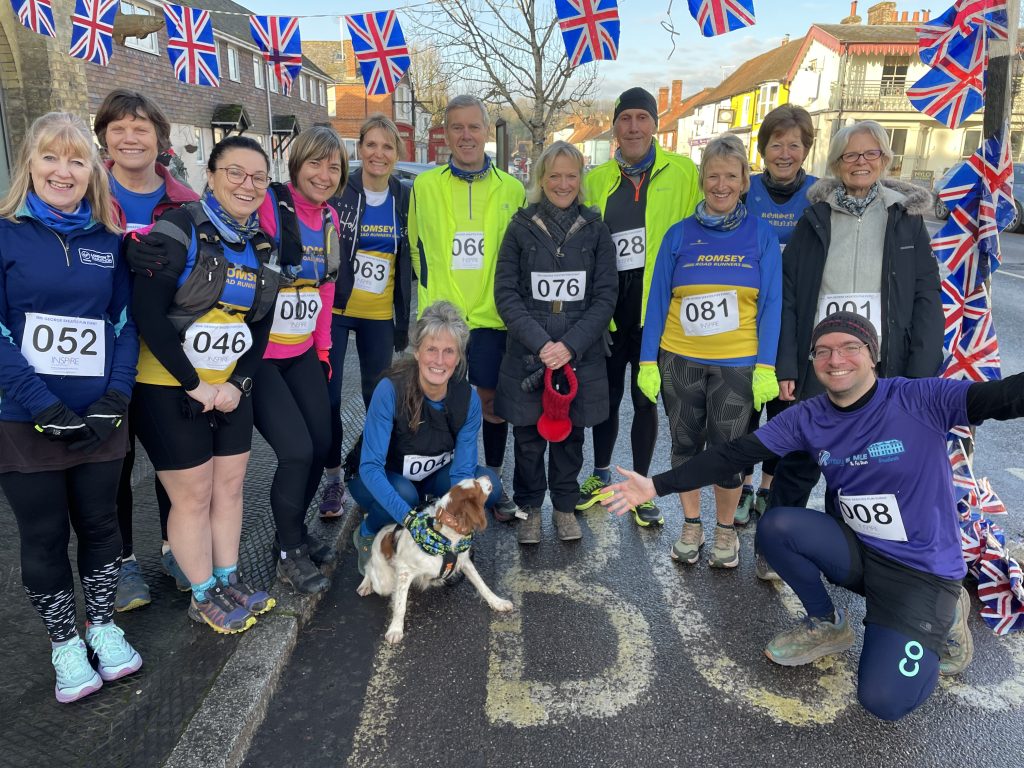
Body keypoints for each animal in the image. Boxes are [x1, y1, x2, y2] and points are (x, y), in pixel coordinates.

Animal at [356, 475, 512, 643]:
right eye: (476, 485)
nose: (487, 477)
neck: (445, 536)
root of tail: (382, 533)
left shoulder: (464, 561)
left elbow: (482, 584)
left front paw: (497, 602)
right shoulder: (405, 571)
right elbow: (400, 605)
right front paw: (395, 629)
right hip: (383, 582)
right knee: (369, 567)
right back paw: (365, 584)